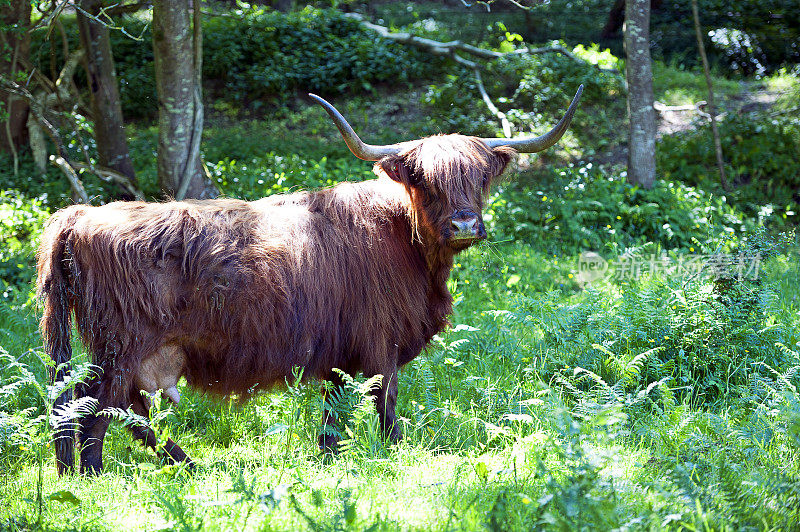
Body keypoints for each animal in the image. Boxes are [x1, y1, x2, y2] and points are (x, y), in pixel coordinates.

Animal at [37, 87, 584, 474]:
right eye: (425, 179)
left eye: (481, 177)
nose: (466, 223)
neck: (405, 242)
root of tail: (81, 216)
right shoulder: (381, 344)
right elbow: (386, 410)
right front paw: (394, 458)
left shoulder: (340, 353)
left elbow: (333, 420)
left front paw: (330, 462)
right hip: (121, 347)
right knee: (94, 410)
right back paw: (94, 476)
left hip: (126, 353)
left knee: (107, 408)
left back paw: (178, 466)